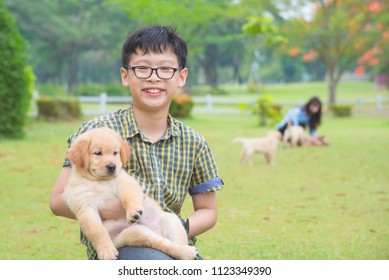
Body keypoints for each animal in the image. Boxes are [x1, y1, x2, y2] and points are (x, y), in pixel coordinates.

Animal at [64, 127, 197, 260]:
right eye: (97, 153)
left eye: (115, 153)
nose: (112, 166)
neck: (100, 181)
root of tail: (156, 230)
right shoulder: (85, 206)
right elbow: (97, 231)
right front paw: (106, 251)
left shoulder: (125, 182)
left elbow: (129, 197)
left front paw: (133, 212)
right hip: (136, 232)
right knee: (162, 243)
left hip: (172, 221)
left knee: (176, 241)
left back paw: (187, 251)